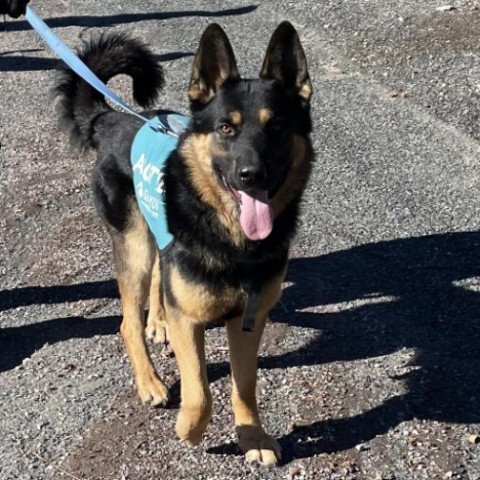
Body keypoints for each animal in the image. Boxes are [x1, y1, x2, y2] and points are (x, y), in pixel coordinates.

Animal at [54, 21, 316, 464]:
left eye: (277, 126)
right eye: (226, 128)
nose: (251, 175)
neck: (233, 242)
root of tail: (111, 119)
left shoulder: (248, 320)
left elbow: (245, 385)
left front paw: (252, 435)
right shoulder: (191, 320)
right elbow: (200, 393)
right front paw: (189, 429)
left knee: (160, 284)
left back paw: (157, 321)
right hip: (136, 248)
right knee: (128, 322)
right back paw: (150, 380)